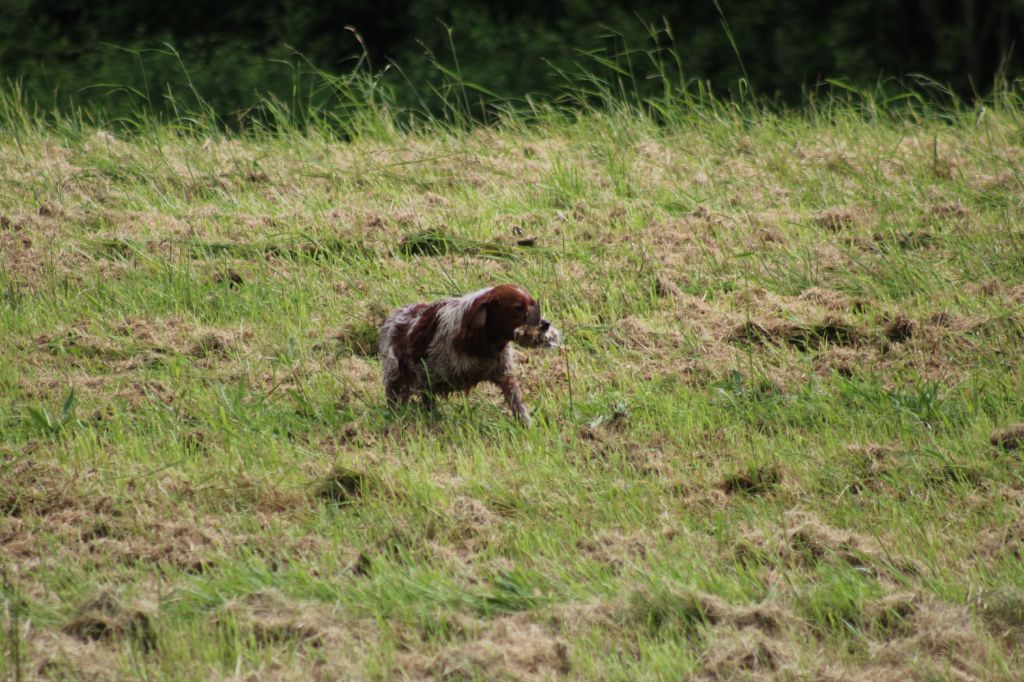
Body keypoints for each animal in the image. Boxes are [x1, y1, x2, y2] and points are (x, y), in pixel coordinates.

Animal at [380, 282, 561, 425]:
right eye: (518, 307)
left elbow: (516, 400)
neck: (482, 343)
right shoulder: (427, 377)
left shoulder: (503, 373)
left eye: (533, 303)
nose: (545, 324)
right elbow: (428, 402)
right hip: (395, 373)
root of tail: (394, 315)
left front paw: (526, 424)